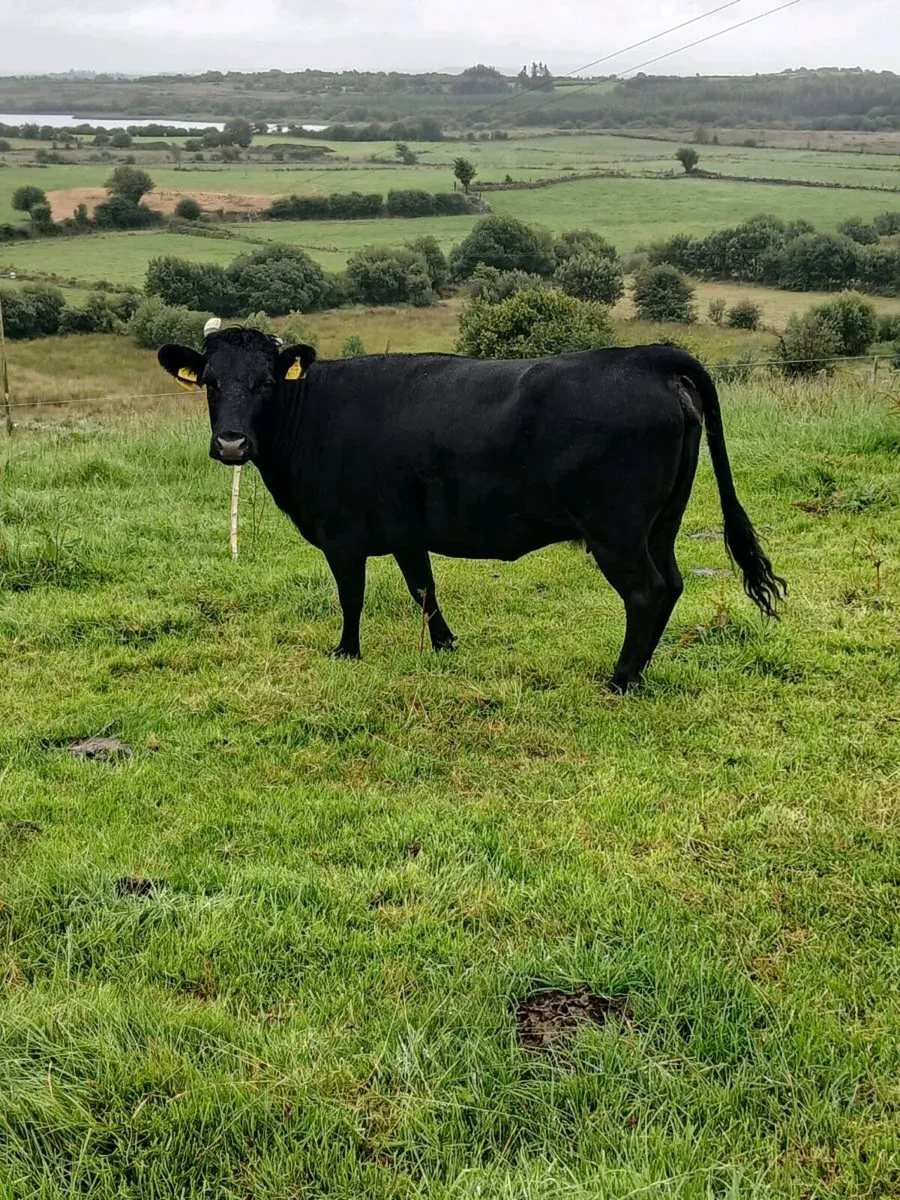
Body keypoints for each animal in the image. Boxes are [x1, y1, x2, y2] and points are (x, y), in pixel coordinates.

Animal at [158, 329, 785, 691]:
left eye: (266, 381)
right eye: (210, 383)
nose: (232, 444)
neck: (312, 410)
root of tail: (648, 358)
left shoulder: (342, 535)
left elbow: (352, 596)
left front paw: (346, 652)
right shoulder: (406, 531)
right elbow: (423, 587)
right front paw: (445, 644)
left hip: (618, 531)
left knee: (647, 591)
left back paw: (621, 678)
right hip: (661, 523)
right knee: (672, 584)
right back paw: (641, 669)